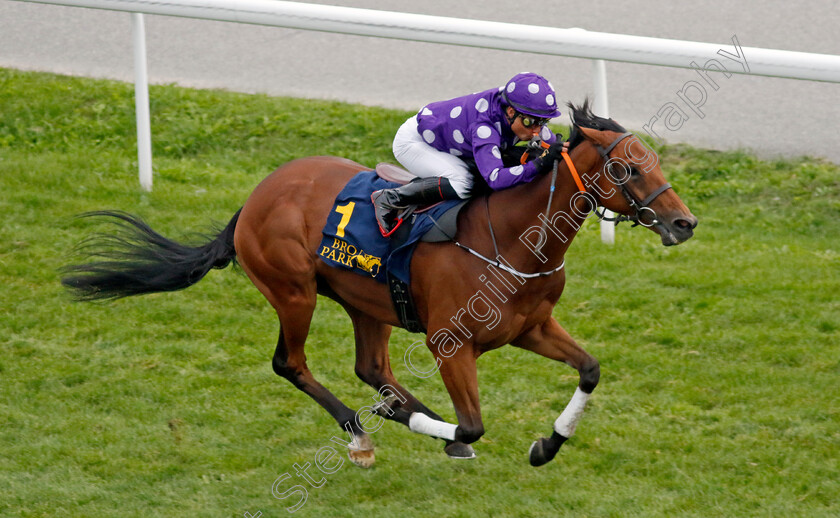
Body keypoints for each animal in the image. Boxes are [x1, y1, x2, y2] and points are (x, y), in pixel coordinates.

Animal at [62, 101, 700, 472]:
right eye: (625, 168)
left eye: (655, 160)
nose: (683, 223)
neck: (511, 241)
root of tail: (257, 195)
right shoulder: (450, 344)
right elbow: (473, 420)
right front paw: (448, 433)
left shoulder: (532, 327)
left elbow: (590, 369)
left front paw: (546, 446)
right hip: (293, 292)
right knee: (291, 364)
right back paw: (362, 435)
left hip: (365, 301)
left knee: (372, 370)